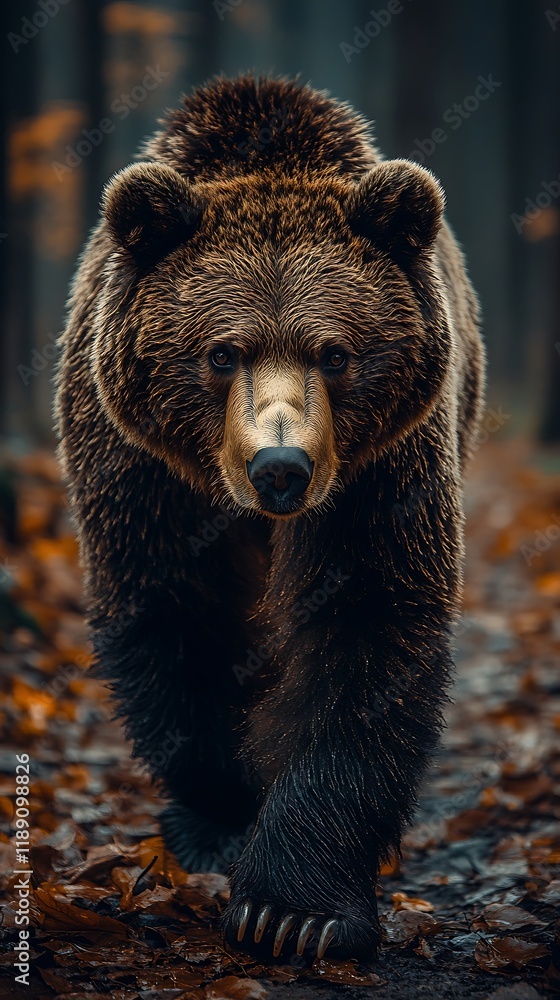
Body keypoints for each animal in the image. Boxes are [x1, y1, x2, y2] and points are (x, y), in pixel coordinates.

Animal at [55, 75, 484, 962]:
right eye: (223, 352)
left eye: (336, 352)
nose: (279, 467)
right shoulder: (147, 476)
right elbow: (183, 622)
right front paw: (219, 821)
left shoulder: (378, 475)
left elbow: (364, 632)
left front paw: (293, 909)